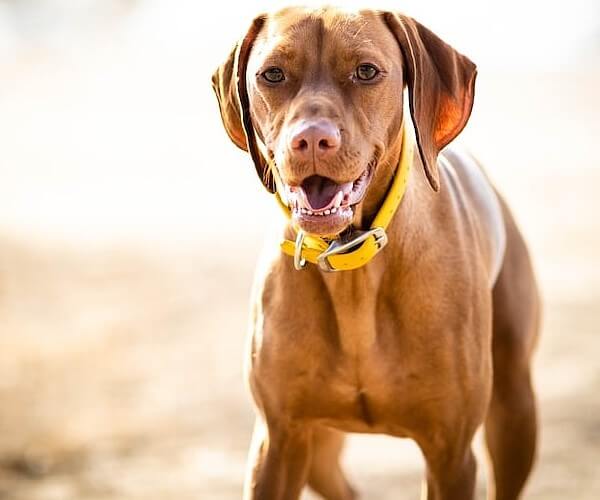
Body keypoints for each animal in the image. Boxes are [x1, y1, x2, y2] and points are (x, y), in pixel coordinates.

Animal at [211, 4, 540, 500]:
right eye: (273, 74)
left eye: (366, 71)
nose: (311, 140)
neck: (352, 268)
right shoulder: (279, 440)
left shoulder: (451, 455)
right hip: (316, 448)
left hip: (515, 410)